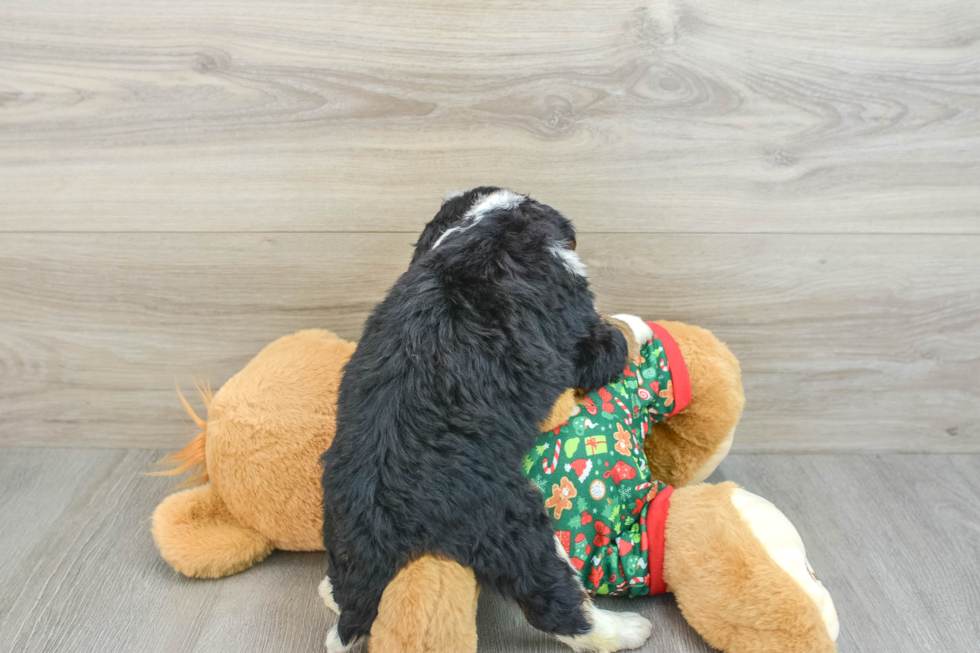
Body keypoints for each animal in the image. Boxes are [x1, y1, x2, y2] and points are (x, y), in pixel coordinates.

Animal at [322, 186, 656, 648]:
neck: (487, 225)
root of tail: (378, 519)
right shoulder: (580, 333)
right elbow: (614, 338)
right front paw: (639, 325)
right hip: (511, 526)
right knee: (555, 604)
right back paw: (625, 629)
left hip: (342, 540)